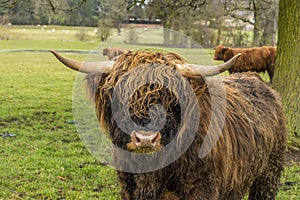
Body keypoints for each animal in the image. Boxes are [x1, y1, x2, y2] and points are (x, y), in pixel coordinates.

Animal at [51, 48, 286, 200]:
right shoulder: (129, 190)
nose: (145, 139)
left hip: (269, 173)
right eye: (119, 96)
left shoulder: (202, 190)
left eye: (171, 100)